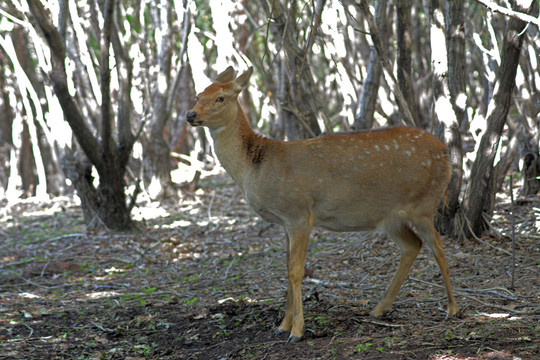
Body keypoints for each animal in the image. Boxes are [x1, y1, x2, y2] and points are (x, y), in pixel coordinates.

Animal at [187, 67, 460, 344]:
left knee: (438, 247)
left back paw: (452, 309)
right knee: (412, 245)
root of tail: (446, 154)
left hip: (423, 204)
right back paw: (379, 309)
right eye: (198, 95)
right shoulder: (284, 222)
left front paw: (297, 332)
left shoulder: (298, 212)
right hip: (392, 217)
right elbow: (286, 269)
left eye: (220, 98)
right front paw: (282, 326)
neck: (255, 167)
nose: (191, 114)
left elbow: (296, 271)